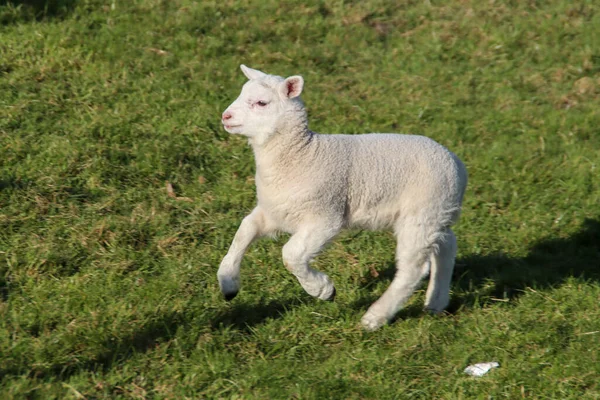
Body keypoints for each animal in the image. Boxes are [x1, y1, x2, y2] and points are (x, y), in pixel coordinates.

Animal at [217, 64, 468, 330]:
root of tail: (458, 165)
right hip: (437, 212)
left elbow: (291, 255)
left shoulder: (326, 217)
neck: (301, 153)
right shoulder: (276, 211)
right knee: (446, 246)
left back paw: (375, 317)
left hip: (422, 213)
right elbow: (244, 231)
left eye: (261, 103)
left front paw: (322, 290)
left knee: (413, 269)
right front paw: (228, 284)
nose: (225, 117)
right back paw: (436, 302)